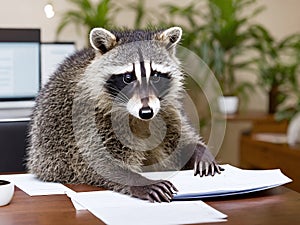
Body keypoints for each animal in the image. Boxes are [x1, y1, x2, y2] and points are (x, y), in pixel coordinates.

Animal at [27, 26, 221, 202]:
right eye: (128, 78)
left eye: (155, 76)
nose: (146, 112)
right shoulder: (89, 115)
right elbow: (97, 160)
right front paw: (140, 181)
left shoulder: (166, 109)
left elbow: (179, 138)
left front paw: (199, 151)